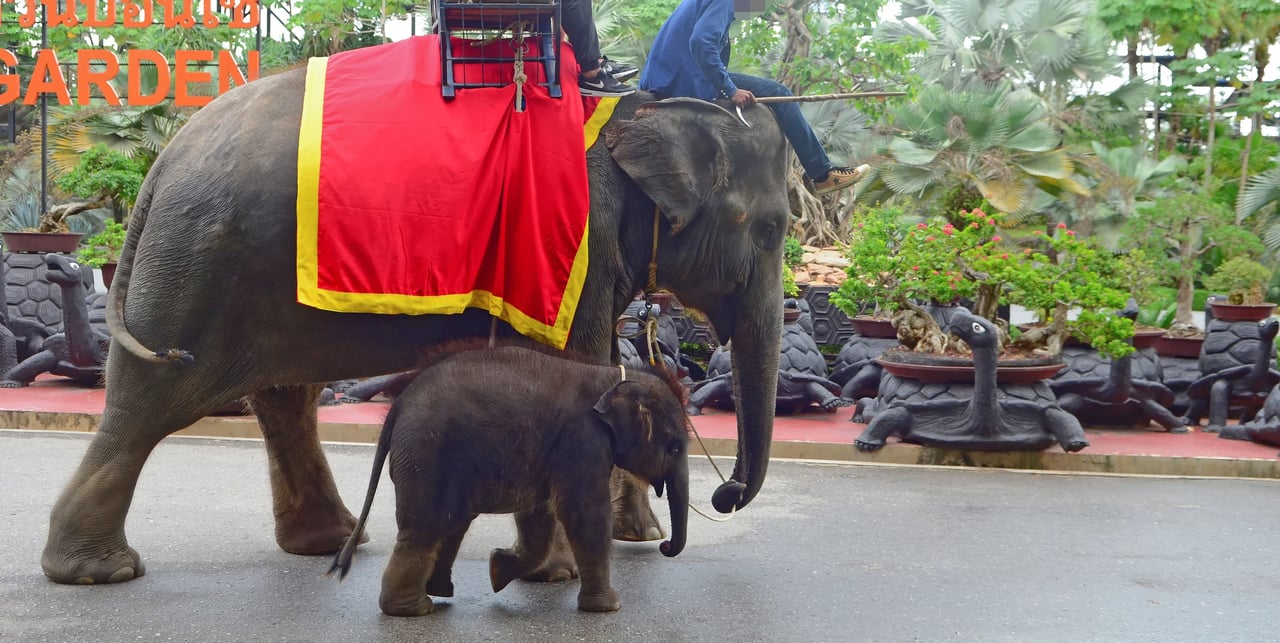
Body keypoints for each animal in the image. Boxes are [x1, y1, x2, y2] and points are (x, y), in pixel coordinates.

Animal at [41, 68, 791, 585]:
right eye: (770, 227)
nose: (727, 494)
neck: (647, 110)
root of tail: (163, 162)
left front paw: (611, 541)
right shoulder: (570, 236)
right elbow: (573, 366)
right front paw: (562, 572)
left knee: (284, 395)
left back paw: (327, 540)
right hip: (199, 265)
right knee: (151, 401)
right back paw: (100, 572)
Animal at [328, 342, 689, 616]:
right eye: (674, 447)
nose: (665, 546)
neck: (613, 376)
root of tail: (398, 405)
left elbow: (539, 516)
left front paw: (497, 570)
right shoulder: (582, 440)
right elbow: (585, 514)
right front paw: (609, 607)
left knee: (451, 522)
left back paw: (437, 591)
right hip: (427, 455)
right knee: (425, 527)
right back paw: (413, 609)